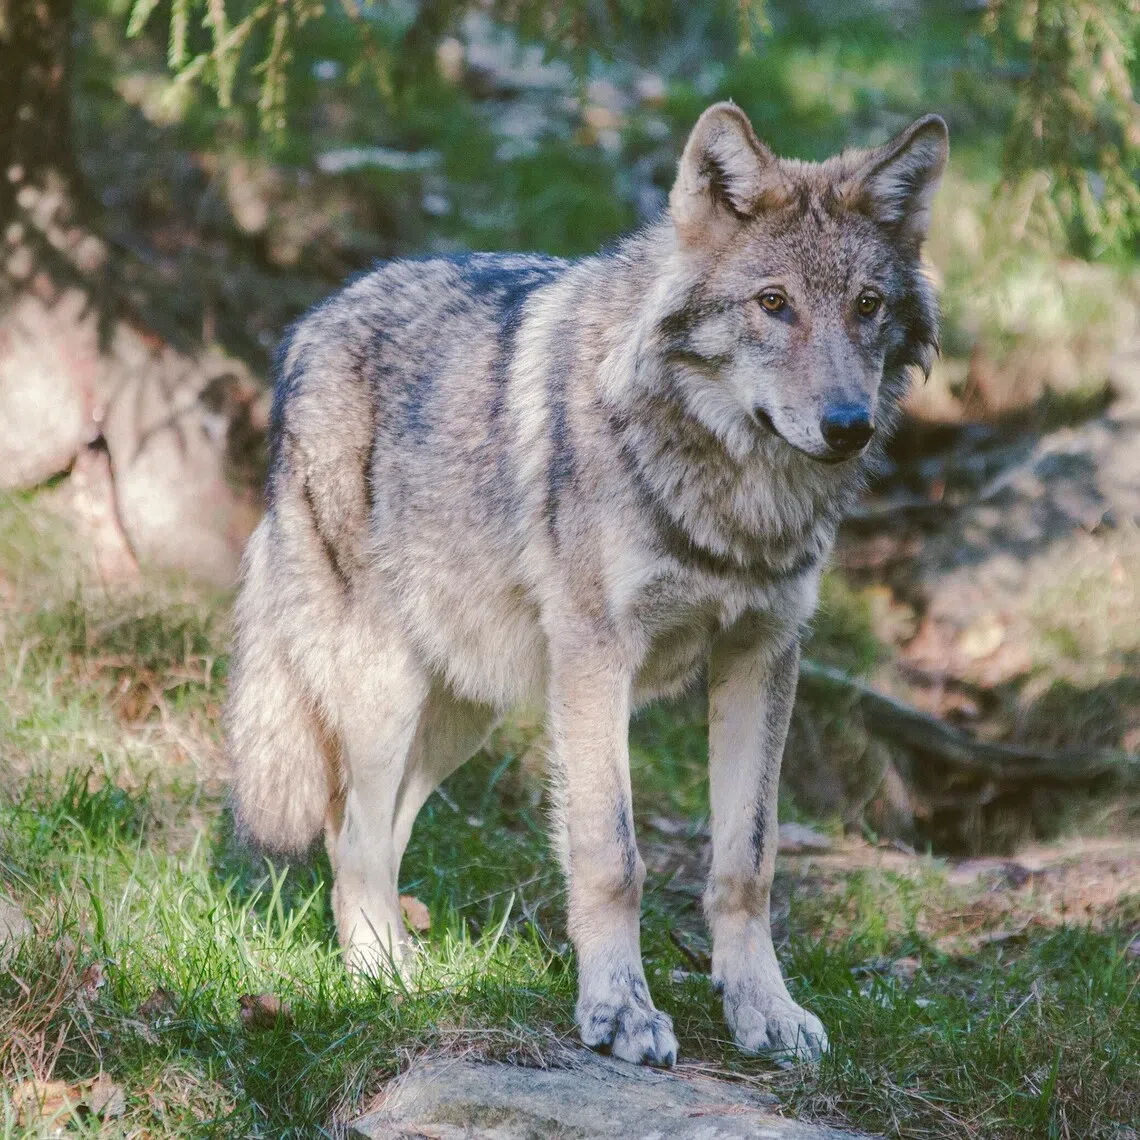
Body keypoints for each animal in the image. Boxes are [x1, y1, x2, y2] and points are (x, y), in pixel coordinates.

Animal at [225, 101, 947, 1066]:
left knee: (384, 827)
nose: (848, 426)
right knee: (350, 835)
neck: (736, 498)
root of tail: (309, 325)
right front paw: (620, 1012)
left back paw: (410, 965)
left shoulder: (763, 655)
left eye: (867, 306)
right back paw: (383, 979)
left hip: (465, 708)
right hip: (384, 692)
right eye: (773, 304)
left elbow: (747, 862)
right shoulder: (601, 659)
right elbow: (613, 858)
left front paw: (764, 1009)